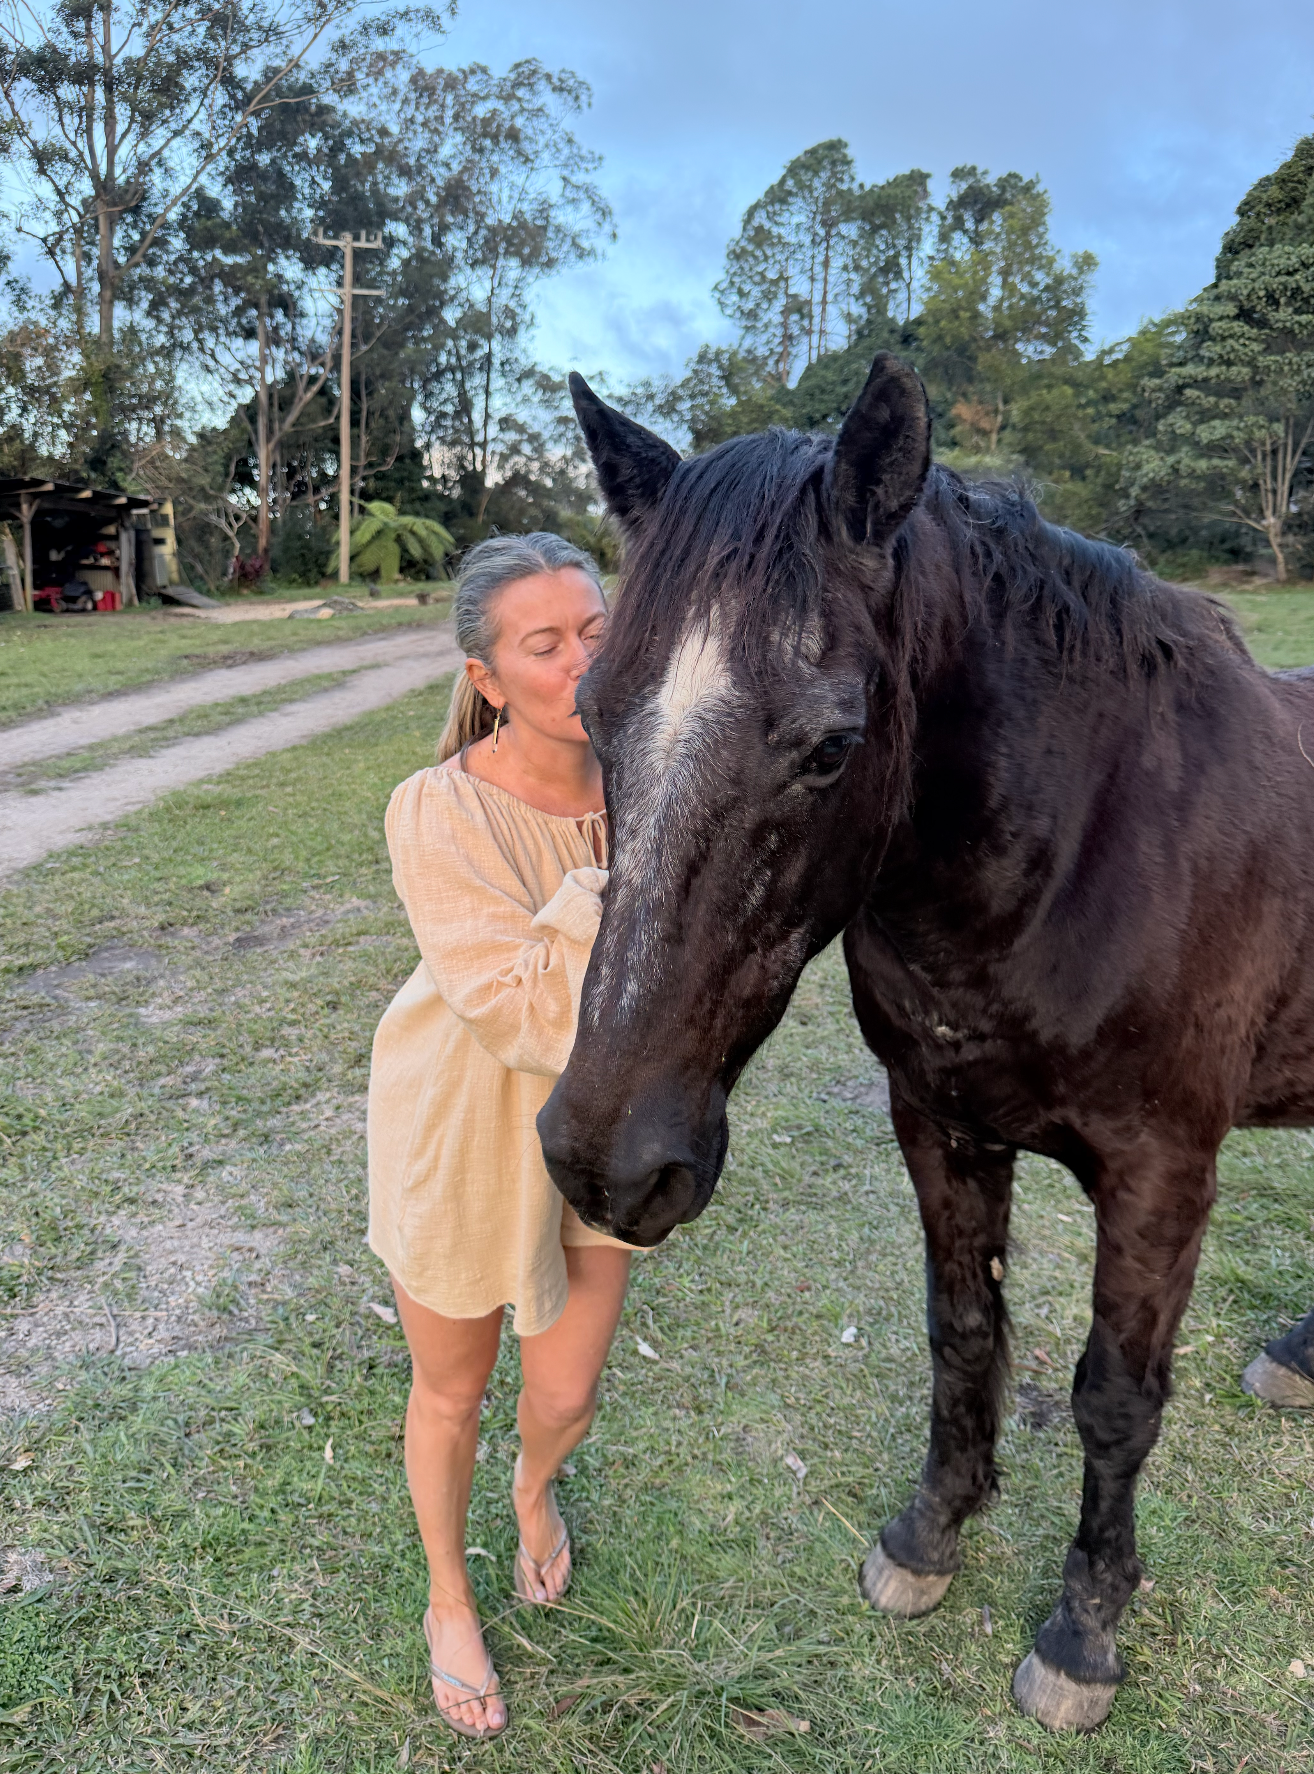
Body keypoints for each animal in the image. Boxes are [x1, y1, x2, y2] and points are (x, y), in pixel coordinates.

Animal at [537, 353, 1314, 1732]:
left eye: (833, 746)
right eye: (590, 711)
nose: (603, 1161)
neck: (1091, 843)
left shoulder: (1163, 1170)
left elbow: (1116, 1399)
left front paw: (1083, 1630)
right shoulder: (940, 1122)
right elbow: (964, 1330)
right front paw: (931, 1534)